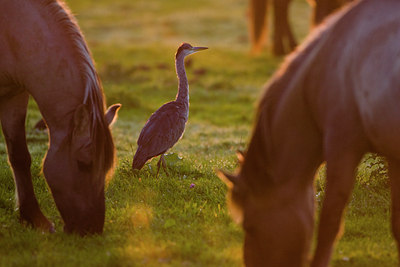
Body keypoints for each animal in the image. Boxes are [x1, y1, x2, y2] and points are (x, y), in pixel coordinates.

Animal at [0, 0, 119, 236]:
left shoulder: (13, 96)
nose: (92, 229)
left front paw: (34, 218)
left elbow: (19, 156)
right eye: (84, 163)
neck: (11, 32)